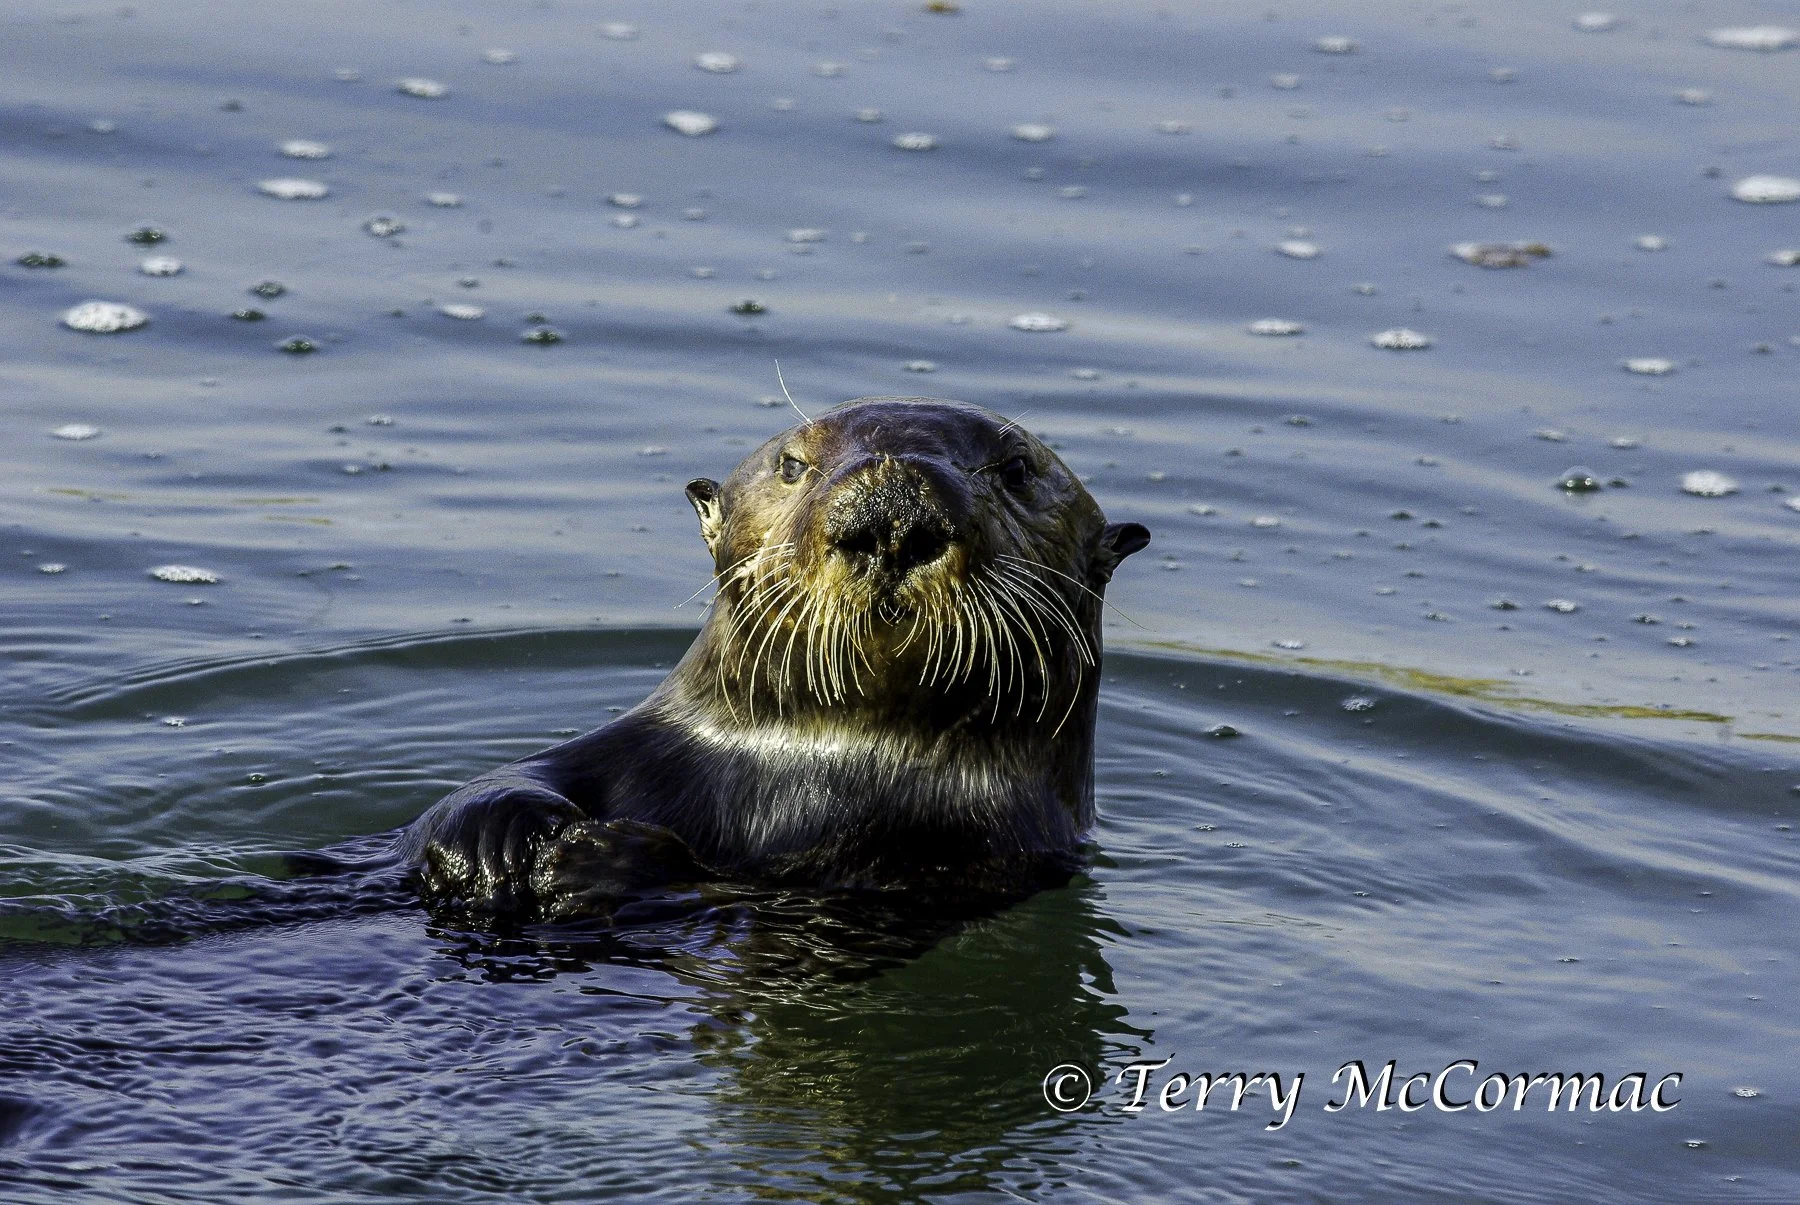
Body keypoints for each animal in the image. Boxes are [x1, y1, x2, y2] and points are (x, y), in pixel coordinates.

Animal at [400, 397, 1148, 916]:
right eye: (792, 464)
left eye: (1016, 469)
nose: (893, 507)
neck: (823, 765)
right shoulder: (637, 744)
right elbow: (487, 788)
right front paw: (492, 840)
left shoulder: (985, 856)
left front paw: (601, 859)